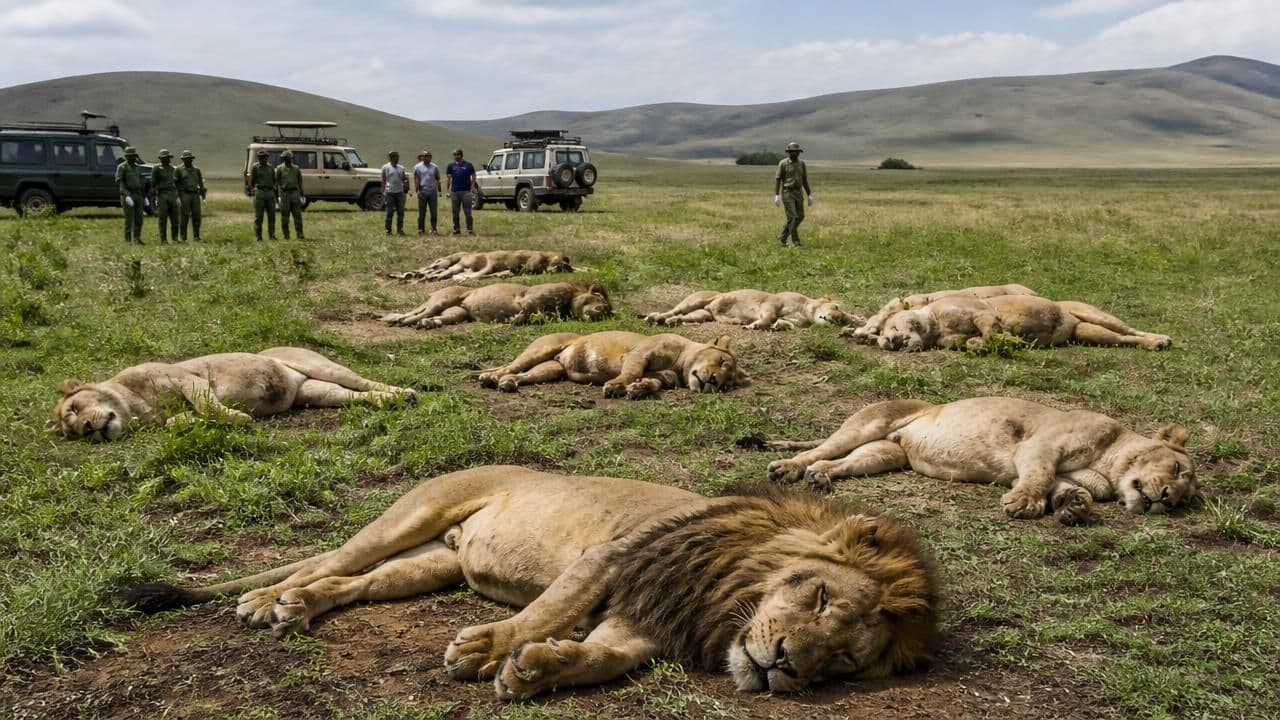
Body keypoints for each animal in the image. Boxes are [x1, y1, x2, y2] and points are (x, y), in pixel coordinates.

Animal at [49, 347, 417, 442]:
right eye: (72, 431)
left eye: (75, 407)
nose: (87, 429)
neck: (137, 407)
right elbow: (179, 421)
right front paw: (189, 424)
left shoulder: (187, 378)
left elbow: (207, 405)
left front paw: (238, 419)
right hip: (316, 392)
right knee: (351, 396)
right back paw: (389, 401)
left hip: (322, 367)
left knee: (364, 382)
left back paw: (404, 394)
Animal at [120, 466, 940, 700]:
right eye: (820, 595)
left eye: (844, 660)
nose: (785, 665)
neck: (724, 599)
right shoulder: (612, 559)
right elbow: (553, 607)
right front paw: (489, 650)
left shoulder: (649, 617)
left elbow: (606, 654)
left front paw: (540, 669)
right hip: (412, 513)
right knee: (330, 561)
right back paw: (266, 599)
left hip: (434, 562)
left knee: (353, 585)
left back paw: (298, 606)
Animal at [477, 330, 749, 399]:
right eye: (721, 361)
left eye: (727, 385)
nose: (713, 381)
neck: (679, 367)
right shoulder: (639, 354)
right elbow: (631, 372)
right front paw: (617, 386)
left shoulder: (661, 377)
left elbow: (652, 382)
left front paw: (639, 390)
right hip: (541, 349)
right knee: (511, 366)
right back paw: (491, 378)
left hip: (551, 369)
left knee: (524, 375)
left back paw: (509, 383)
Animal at [763, 397, 1198, 525]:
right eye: (1178, 469)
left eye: (1187, 498)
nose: (1168, 499)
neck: (1111, 466)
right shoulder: (1040, 446)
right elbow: (1039, 476)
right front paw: (1024, 504)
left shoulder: (1070, 472)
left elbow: (1066, 487)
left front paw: (1073, 507)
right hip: (869, 422)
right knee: (821, 448)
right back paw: (789, 467)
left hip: (884, 453)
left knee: (846, 462)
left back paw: (820, 478)